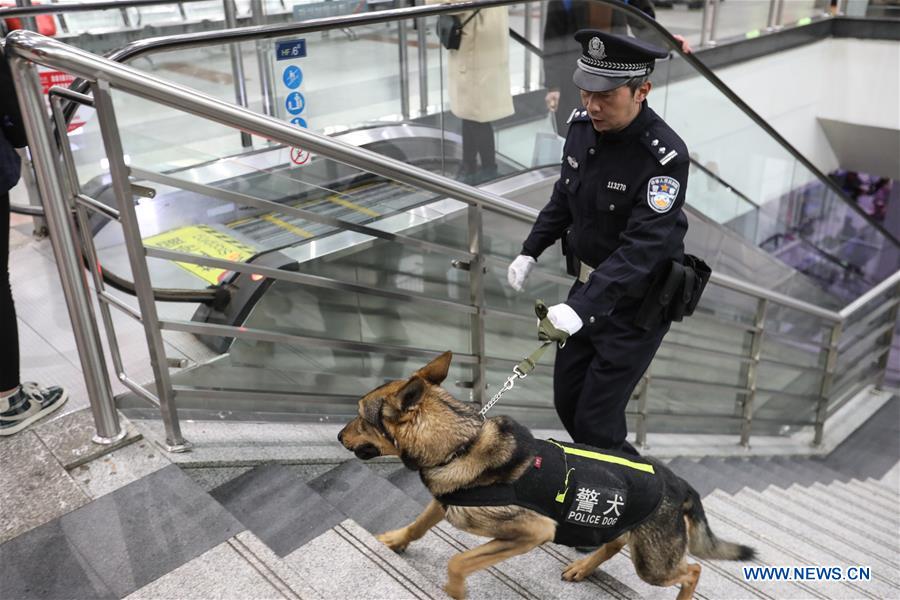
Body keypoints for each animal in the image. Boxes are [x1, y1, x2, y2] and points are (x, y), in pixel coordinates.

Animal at [338, 352, 752, 600]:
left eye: (359, 417)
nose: (339, 436)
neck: (462, 443)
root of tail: (680, 484)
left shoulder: (532, 532)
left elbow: (458, 562)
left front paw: (455, 591)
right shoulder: (447, 500)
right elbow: (418, 524)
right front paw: (395, 541)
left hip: (652, 564)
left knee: (693, 569)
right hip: (620, 526)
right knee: (616, 542)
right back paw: (584, 566)